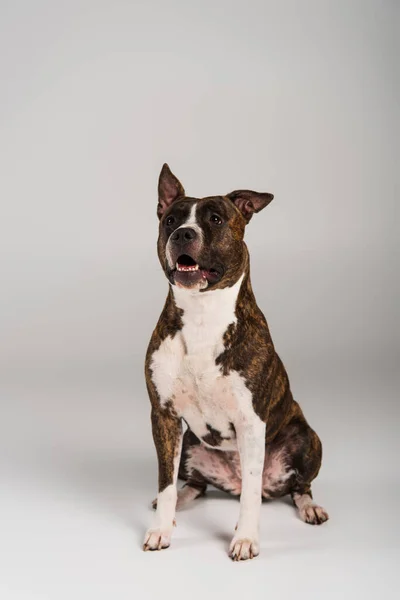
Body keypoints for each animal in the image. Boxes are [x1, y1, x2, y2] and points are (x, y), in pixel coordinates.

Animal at [144, 163, 328, 556]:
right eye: (170, 220)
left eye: (215, 218)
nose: (182, 233)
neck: (202, 314)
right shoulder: (164, 415)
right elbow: (165, 483)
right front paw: (161, 529)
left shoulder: (250, 421)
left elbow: (252, 497)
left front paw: (245, 538)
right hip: (190, 444)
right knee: (194, 484)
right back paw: (180, 502)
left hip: (307, 440)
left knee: (296, 487)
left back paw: (310, 507)